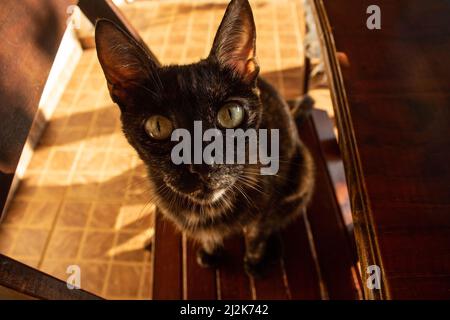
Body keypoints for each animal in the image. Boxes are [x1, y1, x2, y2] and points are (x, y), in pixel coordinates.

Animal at [95, 0, 312, 276]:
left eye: (230, 114)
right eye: (158, 126)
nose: (202, 165)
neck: (209, 210)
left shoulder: (266, 207)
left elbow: (257, 233)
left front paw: (254, 262)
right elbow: (206, 235)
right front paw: (211, 251)